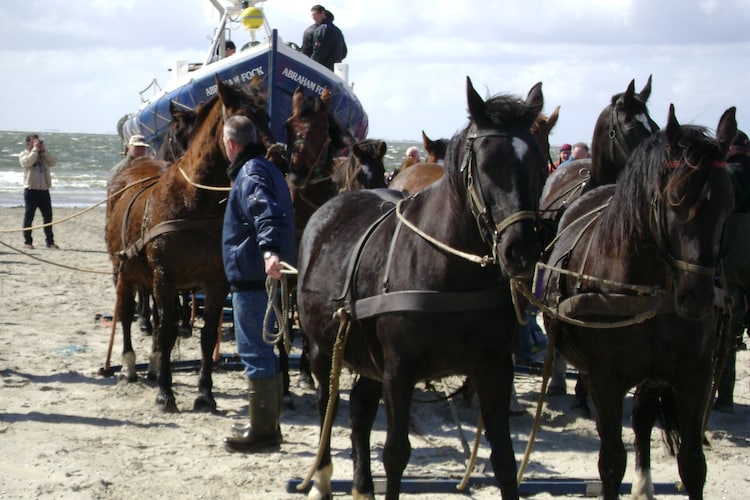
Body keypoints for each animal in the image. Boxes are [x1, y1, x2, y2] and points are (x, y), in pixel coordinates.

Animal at [103, 76, 274, 412]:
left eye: (268, 117)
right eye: (244, 120)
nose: (278, 158)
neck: (194, 202)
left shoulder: (216, 282)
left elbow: (206, 336)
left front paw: (205, 393)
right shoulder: (165, 278)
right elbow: (167, 331)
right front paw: (165, 393)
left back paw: (154, 364)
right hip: (124, 271)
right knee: (126, 314)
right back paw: (129, 365)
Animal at [296, 76, 548, 498]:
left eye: (539, 164)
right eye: (485, 164)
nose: (521, 251)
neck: (450, 271)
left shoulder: (495, 368)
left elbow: (504, 459)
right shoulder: (399, 371)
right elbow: (396, 453)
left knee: (361, 410)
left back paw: (362, 485)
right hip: (322, 349)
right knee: (325, 407)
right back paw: (323, 478)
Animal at [540, 103, 740, 498]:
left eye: (729, 202)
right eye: (675, 199)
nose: (697, 298)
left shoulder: (696, 375)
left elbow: (693, 464)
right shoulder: (605, 378)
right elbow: (611, 462)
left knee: (644, 417)